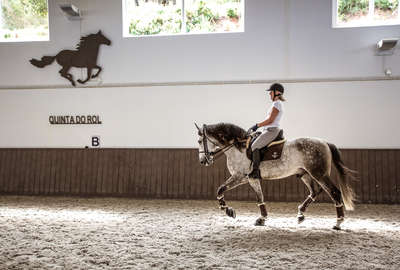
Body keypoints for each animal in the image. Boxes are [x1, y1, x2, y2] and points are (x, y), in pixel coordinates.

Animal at [195, 122, 354, 230]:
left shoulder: (241, 177)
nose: (203, 161)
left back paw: (338, 222)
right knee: (314, 192)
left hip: (319, 174)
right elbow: (258, 198)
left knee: (334, 192)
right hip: (305, 174)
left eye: (199, 141)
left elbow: (221, 189)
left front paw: (230, 211)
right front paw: (260, 218)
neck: (238, 148)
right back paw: (301, 214)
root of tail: (324, 143)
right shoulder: (247, 179)